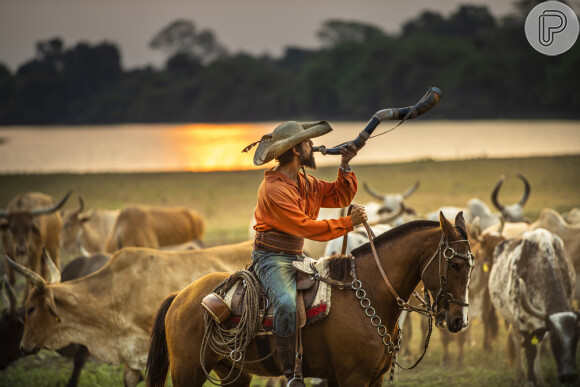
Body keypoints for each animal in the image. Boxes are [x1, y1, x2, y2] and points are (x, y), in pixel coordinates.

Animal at [147, 212, 474, 387]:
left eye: (472, 264)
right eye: (455, 264)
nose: (459, 320)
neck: (369, 294)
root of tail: (181, 296)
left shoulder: (371, 378)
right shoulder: (353, 377)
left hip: (233, 373)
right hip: (187, 372)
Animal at [488, 229, 576, 386]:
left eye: (576, 338)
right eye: (554, 339)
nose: (569, 376)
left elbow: (536, 348)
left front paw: (537, 378)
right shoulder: (521, 319)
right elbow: (529, 350)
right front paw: (530, 380)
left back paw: (539, 377)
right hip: (511, 319)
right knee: (517, 340)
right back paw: (520, 375)